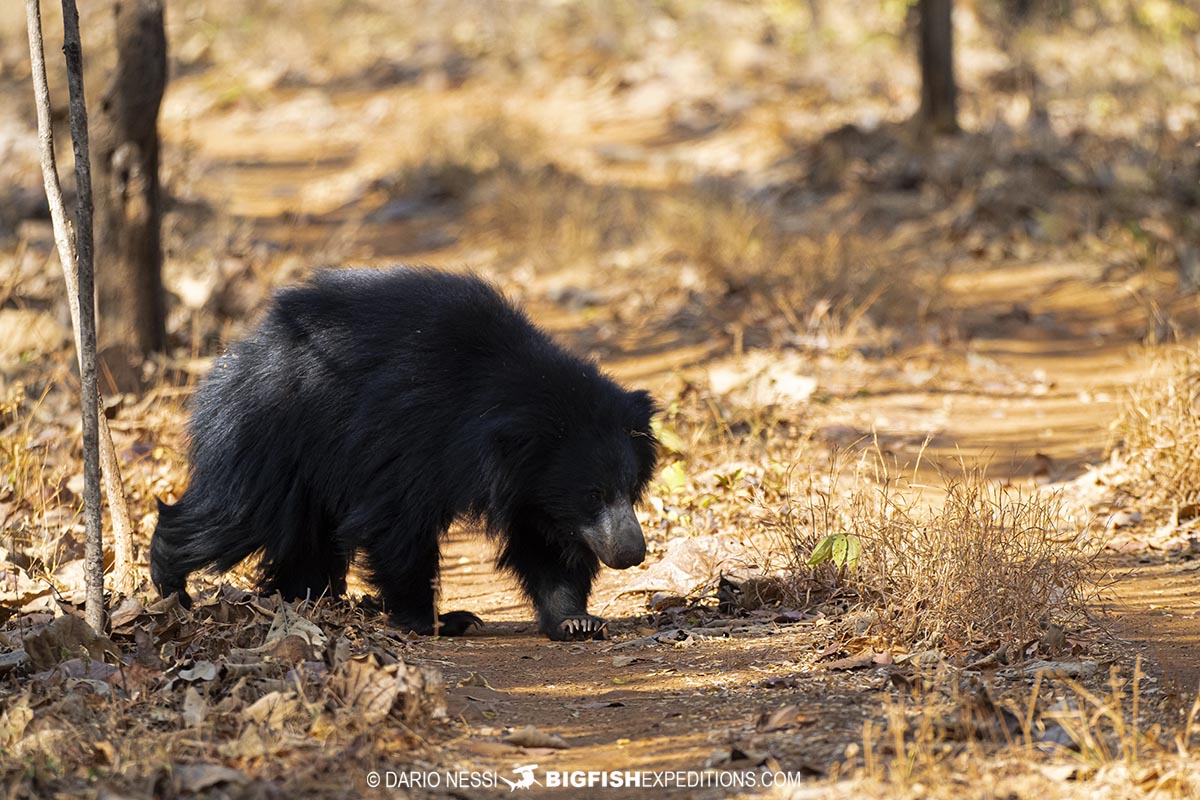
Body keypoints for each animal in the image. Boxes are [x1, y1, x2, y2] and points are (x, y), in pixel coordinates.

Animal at [149, 267, 658, 641]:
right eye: (592, 494)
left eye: (629, 488)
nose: (632, 553)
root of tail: (236, 354)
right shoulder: (413, 432)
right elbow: (399, 523)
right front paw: (438, 621)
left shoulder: (531, 486)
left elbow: (544, 544)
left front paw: (575, 620)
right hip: (270, 432)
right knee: (236, 513)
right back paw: (172, 588)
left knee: (305, 536)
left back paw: (310, 601)